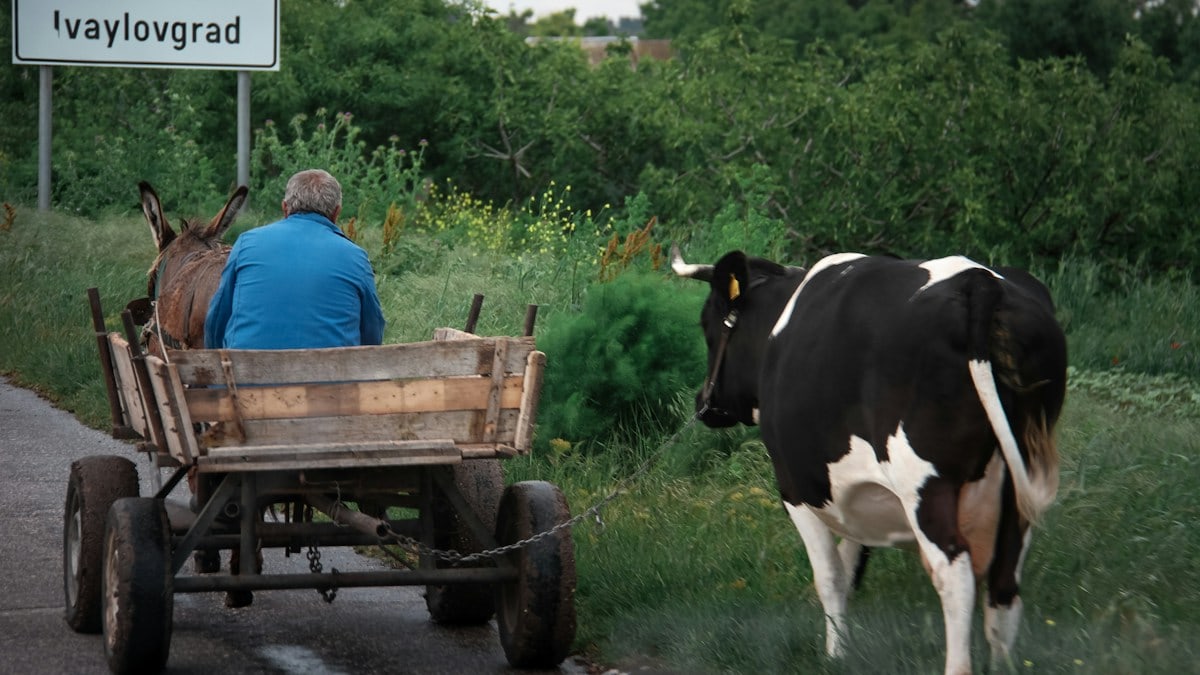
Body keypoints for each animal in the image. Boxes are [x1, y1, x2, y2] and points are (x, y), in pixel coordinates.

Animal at [672, 245, 1067, 675]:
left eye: (708, 325)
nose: (704, 403)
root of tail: (979, 282)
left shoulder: (797, 488)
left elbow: (829, 576)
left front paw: (835, 655)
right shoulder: (859, 495)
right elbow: (850, 567)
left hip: (926, 485)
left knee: (955, 576)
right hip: (1016, 485)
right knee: (1004, 582)